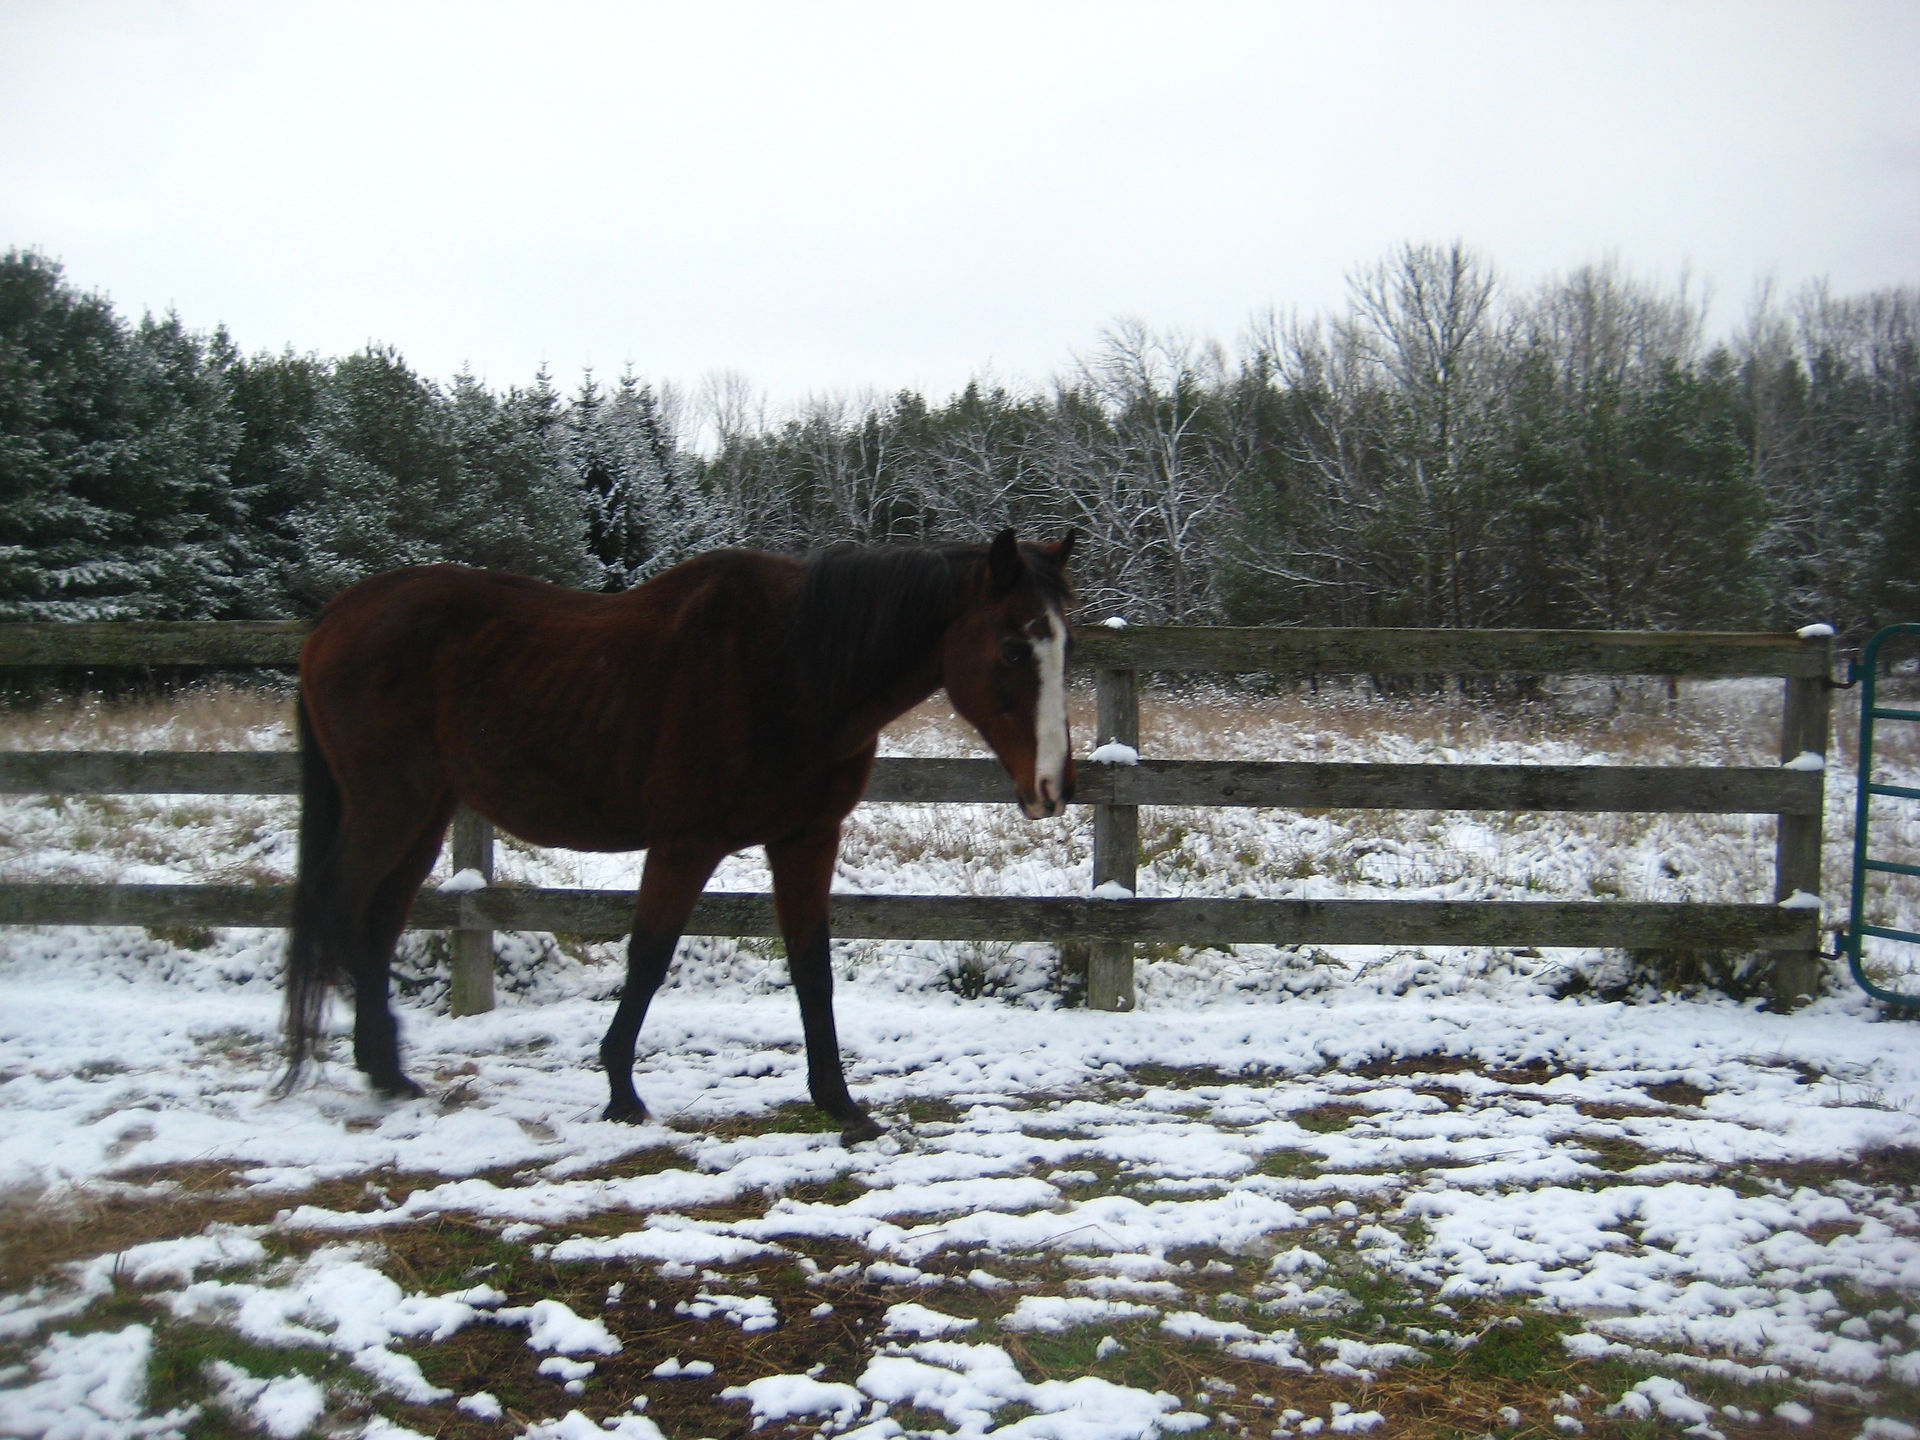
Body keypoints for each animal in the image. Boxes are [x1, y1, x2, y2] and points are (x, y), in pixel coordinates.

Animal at [280, 528, 1077, 1143]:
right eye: (1014, 648)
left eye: (1064, 646)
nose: (1054, 787)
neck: (791, 668)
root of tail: (337, 614)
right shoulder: (685, 845)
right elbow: (649, 958)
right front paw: (621, 1094)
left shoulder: (807, 840)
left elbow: (812, 967)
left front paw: (839, 1103)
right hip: (391, 804)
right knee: (337, 899)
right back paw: (384, 1067)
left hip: (423, 812)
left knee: (377, 918)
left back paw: (384, 1068)